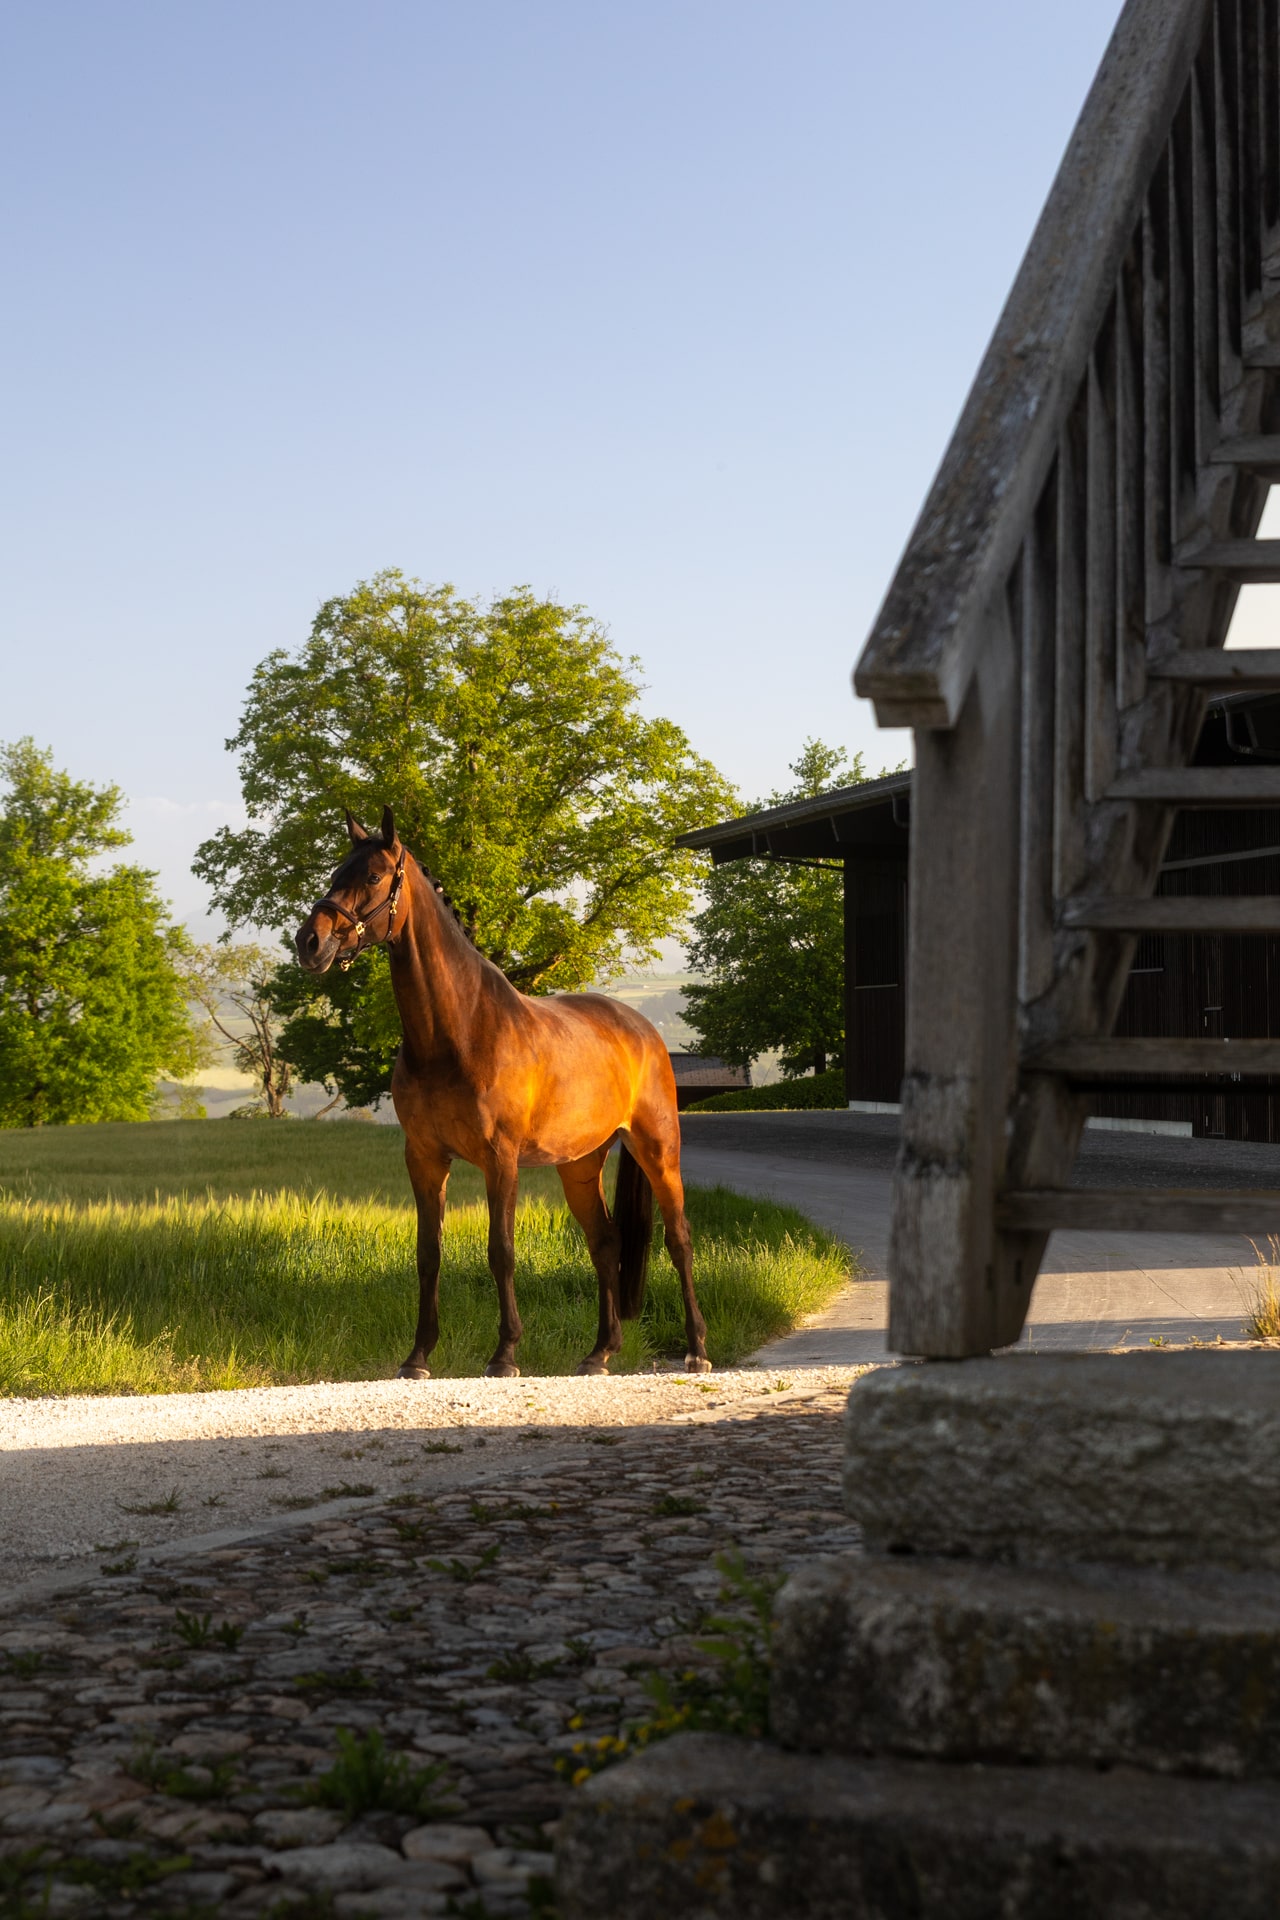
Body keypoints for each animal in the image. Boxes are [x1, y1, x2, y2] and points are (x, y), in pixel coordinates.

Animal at [294, 807, 712, 1381]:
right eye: (337, 872)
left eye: (374, 876)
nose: (309, 942)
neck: (458, 1030)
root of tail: (640, 1028)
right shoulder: (424, 1157)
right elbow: (429, 1254)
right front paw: (418, 1357)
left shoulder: (501, 1159)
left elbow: (502, 1251)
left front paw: (505, 1353)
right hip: (580, 1165)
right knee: (605, 1243)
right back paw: (599, 1353)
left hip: (657, 1148)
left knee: (679, 1239)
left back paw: (696, 1349)